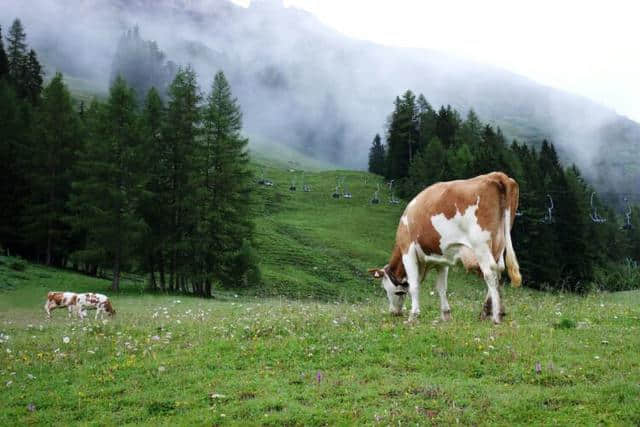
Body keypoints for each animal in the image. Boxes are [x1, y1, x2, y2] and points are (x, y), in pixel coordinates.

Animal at [370, 171, 520, 324]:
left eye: (387, 290)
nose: (394, 312)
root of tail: (495, 175)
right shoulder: (441, 259)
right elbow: (441, 287)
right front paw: (445, 315)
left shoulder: (408, 250)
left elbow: (414, 285)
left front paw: (413, 315)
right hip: (500, 242)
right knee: (499, 270)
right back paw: (491, 311)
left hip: (481, 245)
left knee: (490, 273)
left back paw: (495, 316)